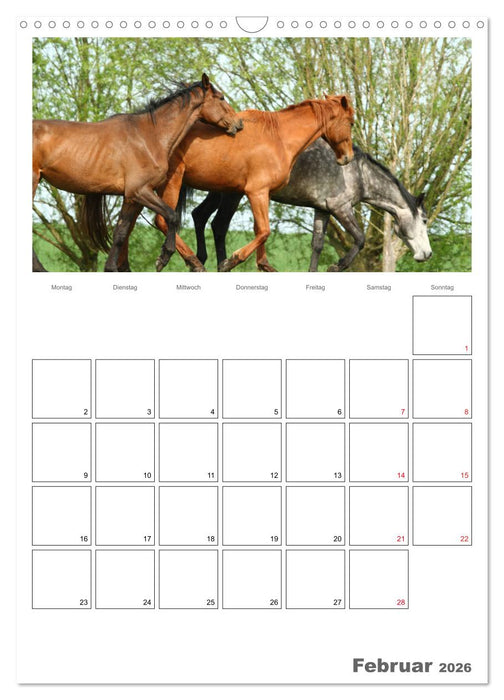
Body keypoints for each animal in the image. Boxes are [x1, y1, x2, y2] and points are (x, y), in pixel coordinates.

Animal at [32, 74, 243, 271]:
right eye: (221, 97)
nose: (239, 124)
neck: (149, 136)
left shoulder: (131, 197)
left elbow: (121, 232)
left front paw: (111, 268)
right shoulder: (140, 191)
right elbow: (172, 216)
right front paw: (164, 257)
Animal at [142, 95, 355, 272]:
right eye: (351, 123)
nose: (348, 157)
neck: (278, 138)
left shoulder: (263, 193)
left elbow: (258, 230)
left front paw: (263, 265)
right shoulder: (256, 192)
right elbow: (264, 231)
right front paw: (231, 261)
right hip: (173, 182)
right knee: (163, 219)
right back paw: (188, 261)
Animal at [188, 141, 432, 271]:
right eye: (425, 220)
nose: (427, 254)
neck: (358, 173)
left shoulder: (322, 210)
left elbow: (317, 245)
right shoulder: (340, 208)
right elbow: (360, 238)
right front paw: (337, 265)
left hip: (219, 191)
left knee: (199, 215)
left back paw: (199, 261)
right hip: (232, 194)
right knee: (219, 224)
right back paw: (224, 264)